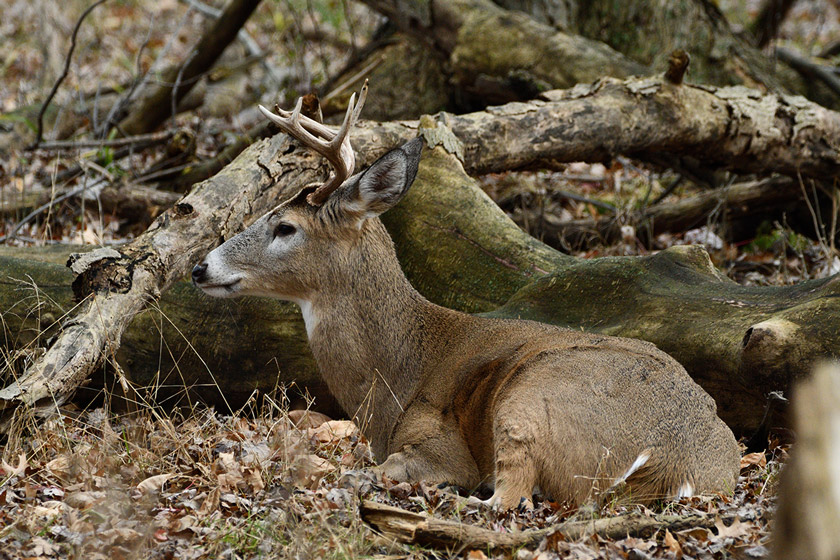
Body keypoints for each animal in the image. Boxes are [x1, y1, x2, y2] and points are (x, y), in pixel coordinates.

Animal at [194, 86, 740, 508]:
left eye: (285, 227)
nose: (201, 268)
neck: (396, 377)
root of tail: (674, 457)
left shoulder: (440, 444)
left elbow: (377, 470)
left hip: (531, 397)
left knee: (509, 498)